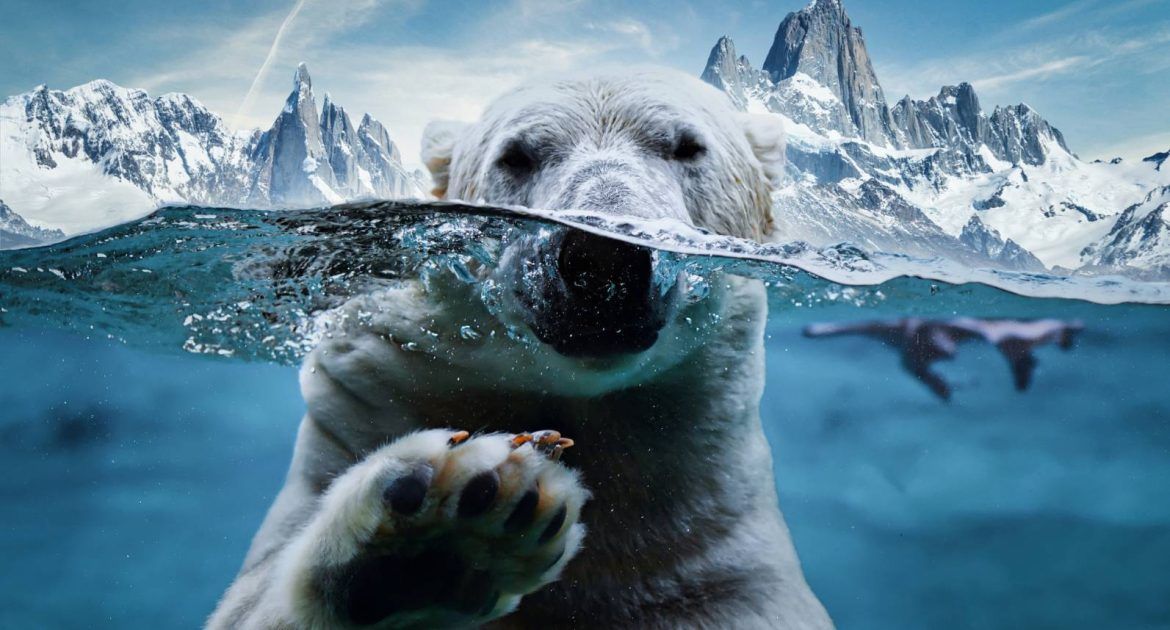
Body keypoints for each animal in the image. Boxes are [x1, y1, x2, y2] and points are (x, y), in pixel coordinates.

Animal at [209, 68, 832, 629]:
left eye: (687, 146)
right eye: (515, 157)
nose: (603, 256)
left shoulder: (713, 552)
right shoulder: (371, 398)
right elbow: (250, 604)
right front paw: (440, 536)